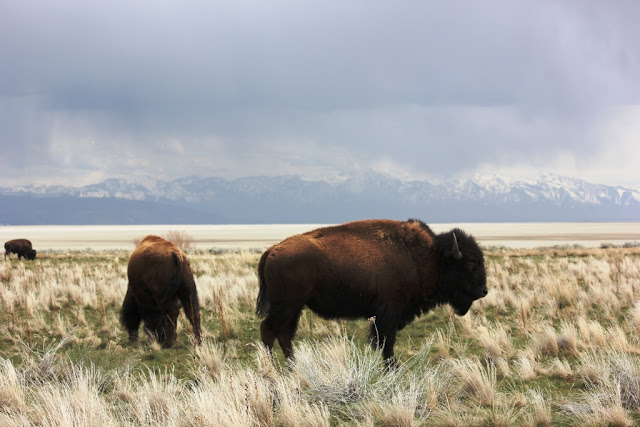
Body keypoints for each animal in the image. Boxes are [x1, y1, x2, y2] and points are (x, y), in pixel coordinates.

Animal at [258, 221, 488, 364]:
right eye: (471, 263)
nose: (484, 291)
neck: (428, 256)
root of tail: (272, 251)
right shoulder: (390, 311)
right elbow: (387, 341)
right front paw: (393, 368)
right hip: (286, 306)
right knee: (269, 331)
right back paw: (274, 370)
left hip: (295, 308)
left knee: (284, 334)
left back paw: (292, 367)